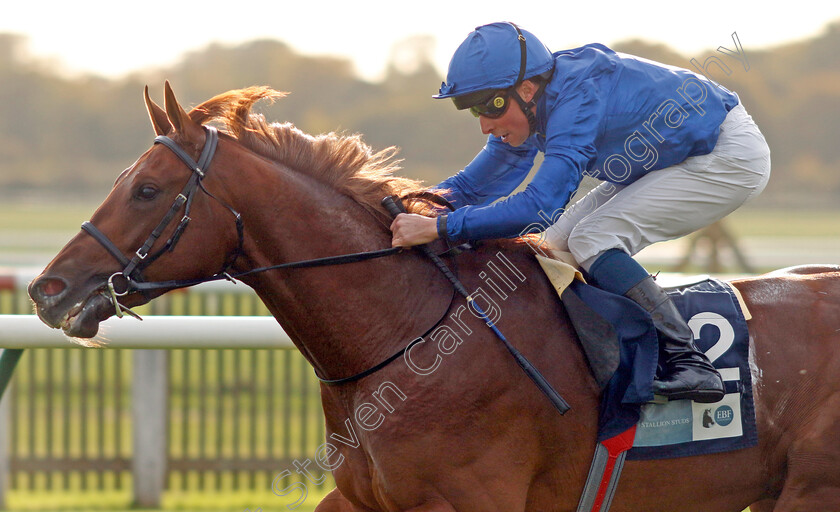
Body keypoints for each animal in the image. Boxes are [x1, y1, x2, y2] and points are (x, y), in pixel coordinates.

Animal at [27, 82, 840, 510]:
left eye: (146, 189)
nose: (46, 288)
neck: (410, 337)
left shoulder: (475, 500)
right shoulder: (361, 498)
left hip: (811, 489)